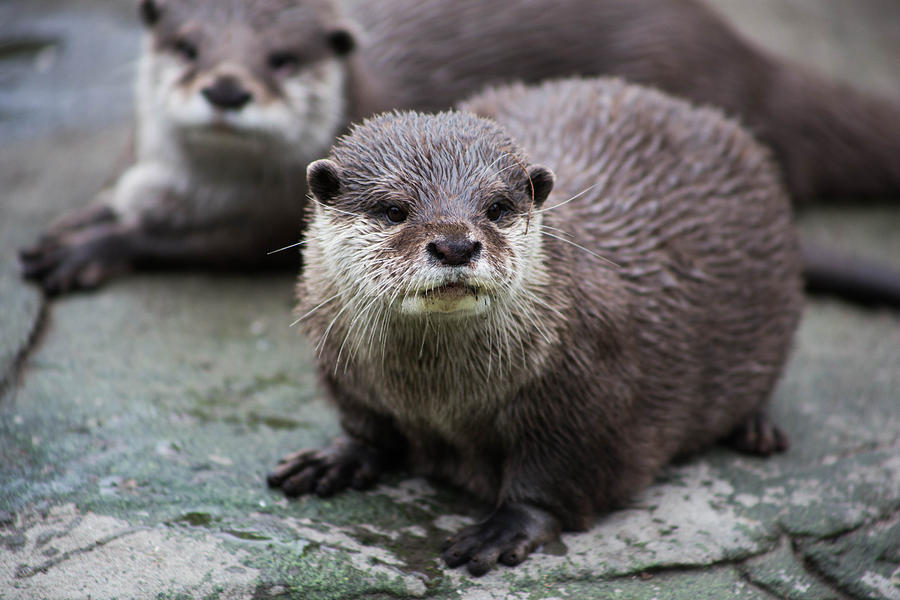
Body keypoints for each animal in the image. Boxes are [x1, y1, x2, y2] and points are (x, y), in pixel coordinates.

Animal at [17, 0, 900, 300]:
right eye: (189, 46)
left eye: (281, 60)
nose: (228, 88)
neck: (198, 186)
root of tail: (744, 55)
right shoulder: (144, 163)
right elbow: (114, 195)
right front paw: (78, 224)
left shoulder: (269, 215)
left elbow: (188, 244)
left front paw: (92, 250)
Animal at [266, 77, 800, 576]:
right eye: (394, 210)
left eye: (497, 208)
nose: (456, 245)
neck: (437, 398)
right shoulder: (343, 367)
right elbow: (366, 425)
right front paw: (338, 457)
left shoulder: (589, 388)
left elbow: (556, 475)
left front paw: (505, 527)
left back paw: (756, 430)